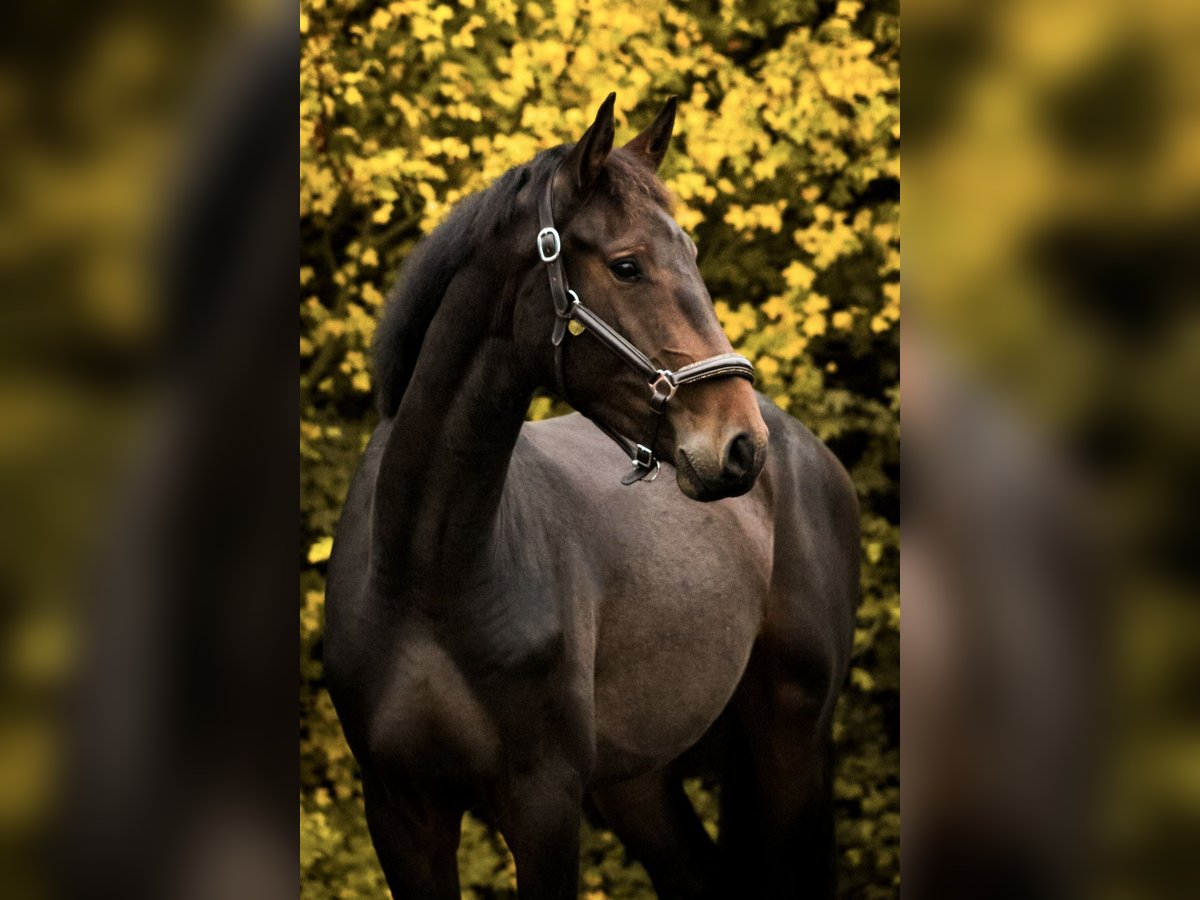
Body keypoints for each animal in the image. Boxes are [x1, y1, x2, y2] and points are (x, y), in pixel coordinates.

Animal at [324, 93, 860, 899]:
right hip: (638, 781)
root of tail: (806, 451)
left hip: (790, 739)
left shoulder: (544, 803)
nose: (740, 444)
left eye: (692, 255)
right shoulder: (400, 812)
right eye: (627, 266)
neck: (427, 569)